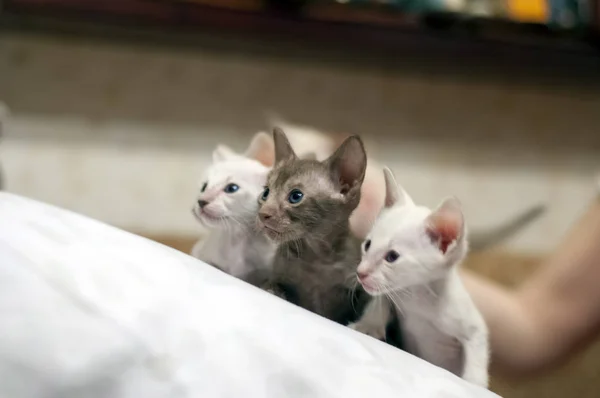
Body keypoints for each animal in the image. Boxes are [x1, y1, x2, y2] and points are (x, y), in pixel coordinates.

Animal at [258, 129, 370, 324]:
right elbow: (272, 286)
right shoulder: (279, 276)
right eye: (266, 193)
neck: (316, 259)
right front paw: (274, 291)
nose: (263, 213)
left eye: (295, 196)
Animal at [352, 166, 488, 388]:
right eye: (368, 245)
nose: (360, 272)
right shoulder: (395, 294)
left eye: (392, 257)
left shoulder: (474, 329)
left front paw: (473, 385)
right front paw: (367, 326)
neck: (417, 297)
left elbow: (476, 358)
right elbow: (382, 301)